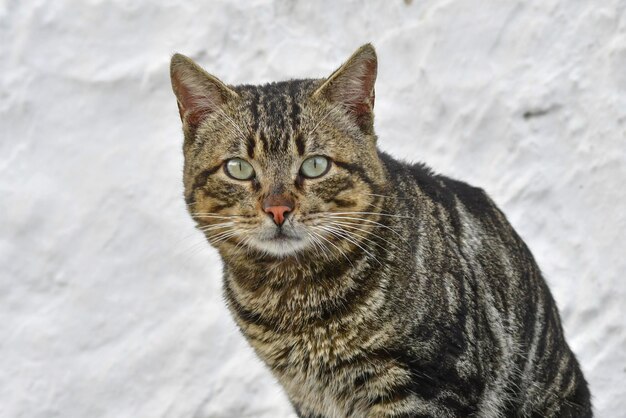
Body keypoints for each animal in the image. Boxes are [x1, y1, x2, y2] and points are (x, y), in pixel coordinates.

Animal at [168, 44, 588, 416]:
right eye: (238, 168)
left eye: (315, 165)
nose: (277, 208)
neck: (296, 304)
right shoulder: (308, 397)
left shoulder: (428, 383)